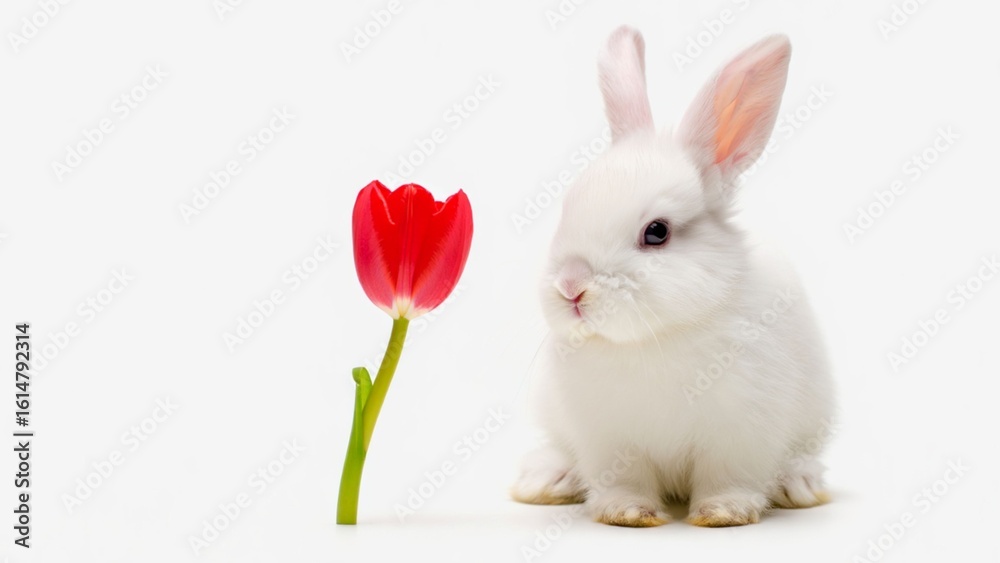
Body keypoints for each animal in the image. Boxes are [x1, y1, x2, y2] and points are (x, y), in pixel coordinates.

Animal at [511, 26, 835, 528]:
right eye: (568, 209)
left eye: (657, 232)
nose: (572, 288)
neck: (652, 340)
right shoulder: (609, 438)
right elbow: (623, 478)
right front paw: (627, 512)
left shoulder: (740, 432)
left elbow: (729, 476)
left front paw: (723, 512)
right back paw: (547, 480)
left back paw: (799, 485)